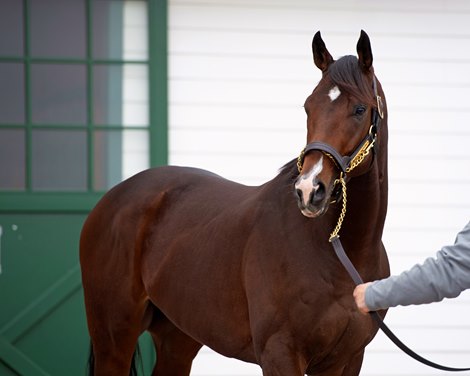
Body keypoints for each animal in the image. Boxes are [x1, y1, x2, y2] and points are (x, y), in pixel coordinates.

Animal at [80, 30, 390, 374]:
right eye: (308, 107)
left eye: (360, 109)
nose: (309, 190)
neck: (341, 255)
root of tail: (112, 198)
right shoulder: (279, 353)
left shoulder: (346, 359)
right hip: (114, 340)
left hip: (177, 337)